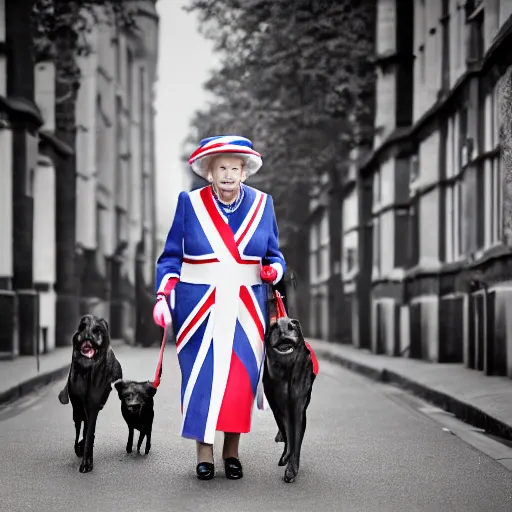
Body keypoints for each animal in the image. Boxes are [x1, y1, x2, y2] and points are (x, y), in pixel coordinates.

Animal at [57, 314, 122, 474]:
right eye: (81, 327)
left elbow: (89, 434)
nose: (87, 333)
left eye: (98, 329)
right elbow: (80, 432)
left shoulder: (92, 406)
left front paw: (87, 462)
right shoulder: (77, 407)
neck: (85, 373)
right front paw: (80, 449)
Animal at [264, 314, 316, 482]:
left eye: (292, 327)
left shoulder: (298, 407)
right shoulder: (277, 407)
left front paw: (292, 470)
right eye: (274, 327)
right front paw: (286, 457)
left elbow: (296, 438)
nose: (283, 331)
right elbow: (287, 433)